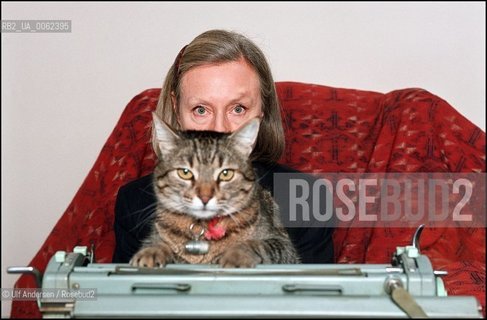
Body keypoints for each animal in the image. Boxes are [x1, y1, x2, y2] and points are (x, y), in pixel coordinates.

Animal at [130, 112, 300, 268]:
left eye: (226, 174)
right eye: (185, 173)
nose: (205, 198)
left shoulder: (284, 246)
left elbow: (256, 244)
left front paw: (236, 255)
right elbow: (157, 242)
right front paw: (151, 251)